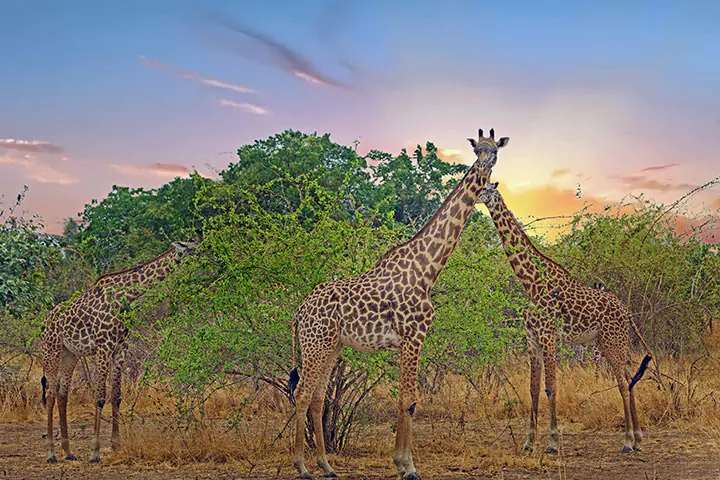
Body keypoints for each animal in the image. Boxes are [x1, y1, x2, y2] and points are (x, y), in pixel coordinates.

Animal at [41, 238, 200, 464]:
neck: (125, 296)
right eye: (192, 249)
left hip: (70, 354)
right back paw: (51, 454)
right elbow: (100, 397)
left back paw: (69, 452)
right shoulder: (103, 347)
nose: (207, 257)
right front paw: (95, 452)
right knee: (51, 393)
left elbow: (116, 396)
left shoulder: (120, 349)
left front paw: (116, 446)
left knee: (63, 394)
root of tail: (45, 322)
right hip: (51, 349)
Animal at [288, 128, 512, 480]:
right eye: (477, 149)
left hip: (330, 346)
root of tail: (299, 310)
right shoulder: (413, 336)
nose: (484, 166)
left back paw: (326, 466)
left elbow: (409, 400)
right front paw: (407, 466)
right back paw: (301, 466)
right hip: (315, 344)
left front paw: (402, 463)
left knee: (317, 397)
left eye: (496, 150)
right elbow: (408, 399)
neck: (428, 268)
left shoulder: (412, 339)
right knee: (301, 394)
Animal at [478, 180, 652, 454]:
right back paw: (637, 439)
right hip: (611, 342)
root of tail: (626, 312)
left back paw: (626, 442)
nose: (474, 195)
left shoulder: (548, 335)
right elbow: (533, 388)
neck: (530, 284)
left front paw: (552, 442)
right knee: (629, 377)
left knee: (624, 383)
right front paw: (528, 443)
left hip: (612, 341)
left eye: (485, 188)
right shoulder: (532, 337)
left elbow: (551, 387)